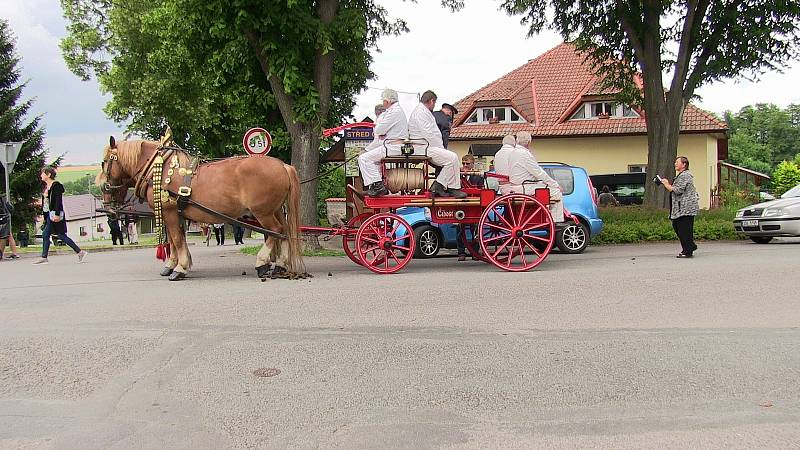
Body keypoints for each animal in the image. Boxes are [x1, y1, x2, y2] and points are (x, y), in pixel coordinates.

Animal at [97, 139, 304, 280]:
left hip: (262, 212)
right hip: (275, 210)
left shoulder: (169, 211)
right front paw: (173, 265)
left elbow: (176, 239)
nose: (107, 206)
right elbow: (175, 241)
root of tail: (282, 165)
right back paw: (280, 265)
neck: (159, 167)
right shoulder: (175, 214)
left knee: (275, 231)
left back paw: (262, 263)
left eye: (105, 162)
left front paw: (179, 269)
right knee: (284, 232)